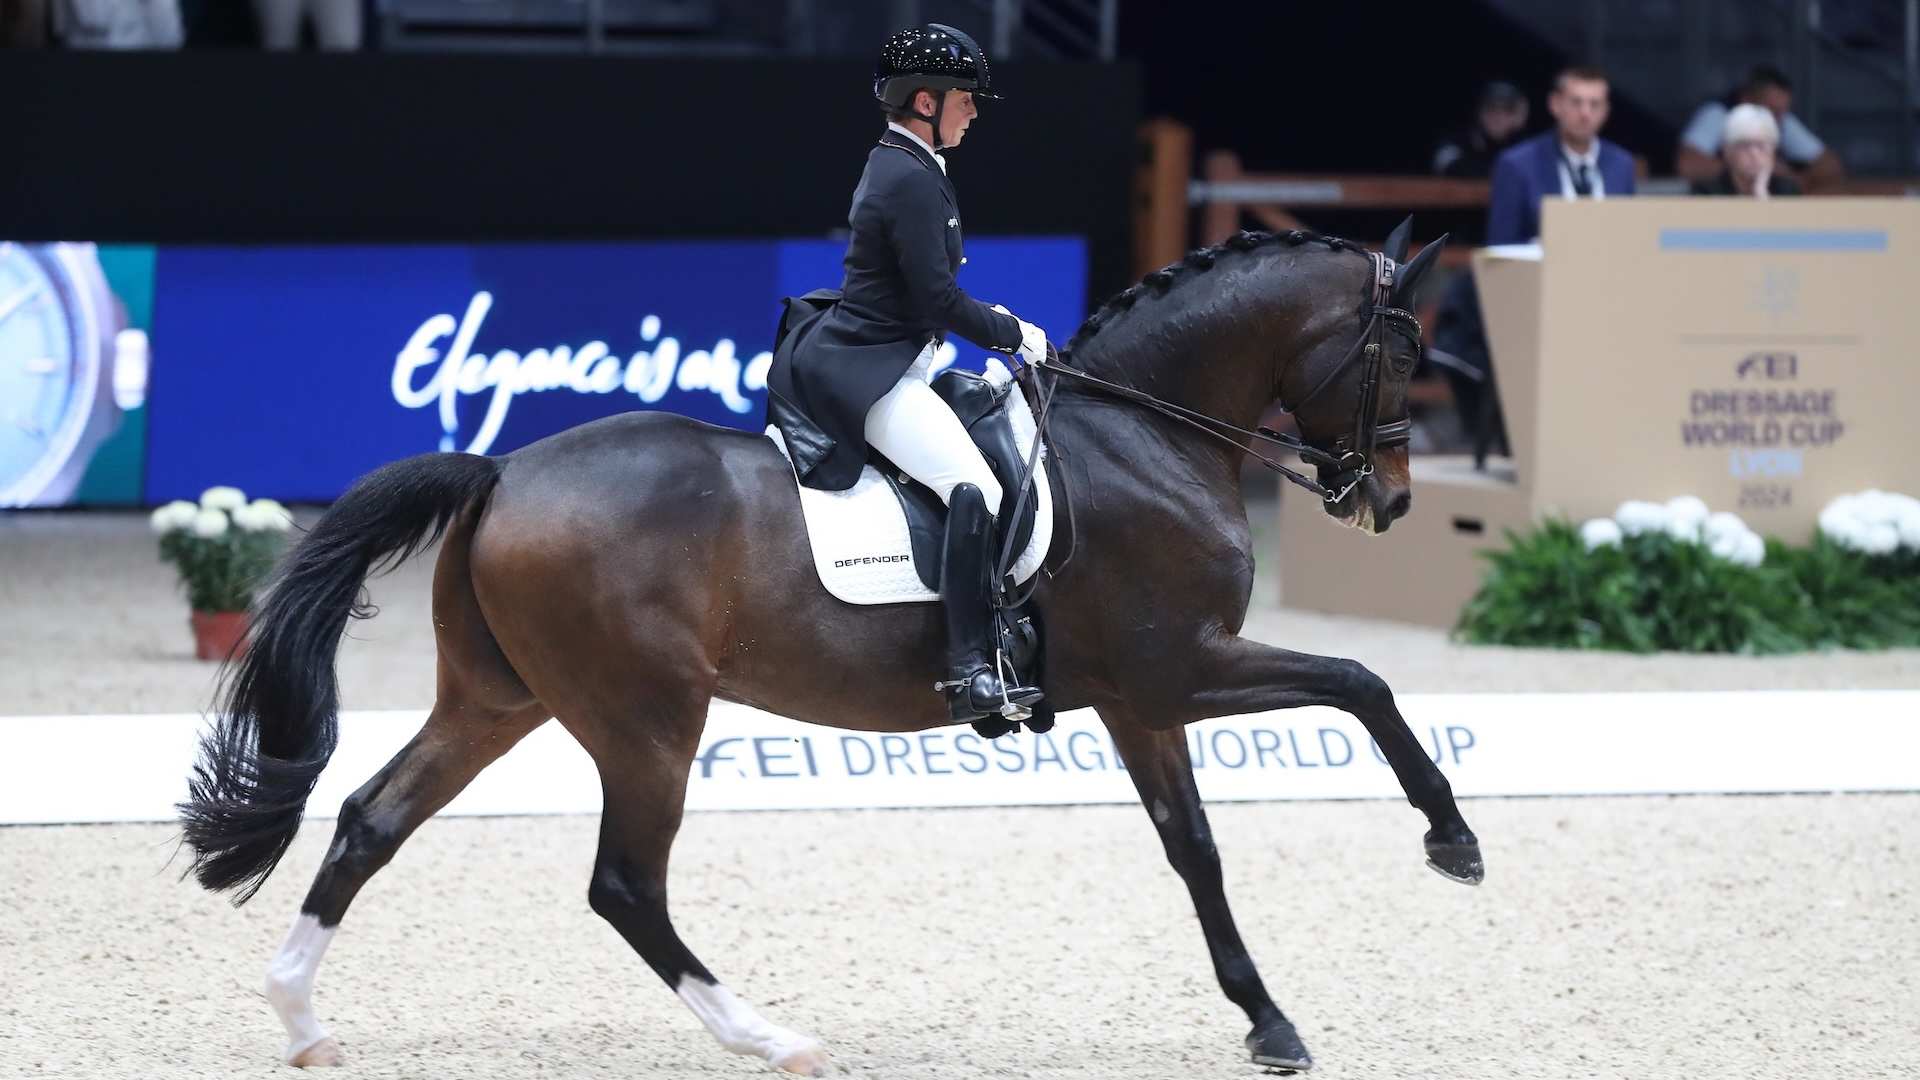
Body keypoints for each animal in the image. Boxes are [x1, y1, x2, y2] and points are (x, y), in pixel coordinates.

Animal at [176, 224, 1482, 1068]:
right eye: (1408, 351)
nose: (1389, 502)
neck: (1141, 437)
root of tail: (500, 470)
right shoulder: (1183, 665)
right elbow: (1365, 682)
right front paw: (1453, 843)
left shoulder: (1139, 700)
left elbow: (1196, 852)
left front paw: (1269, 1022)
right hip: (647, 722)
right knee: (623, 885)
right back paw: (768, 1036)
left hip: (497, 704)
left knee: (372, 819)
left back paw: (298, 1016)